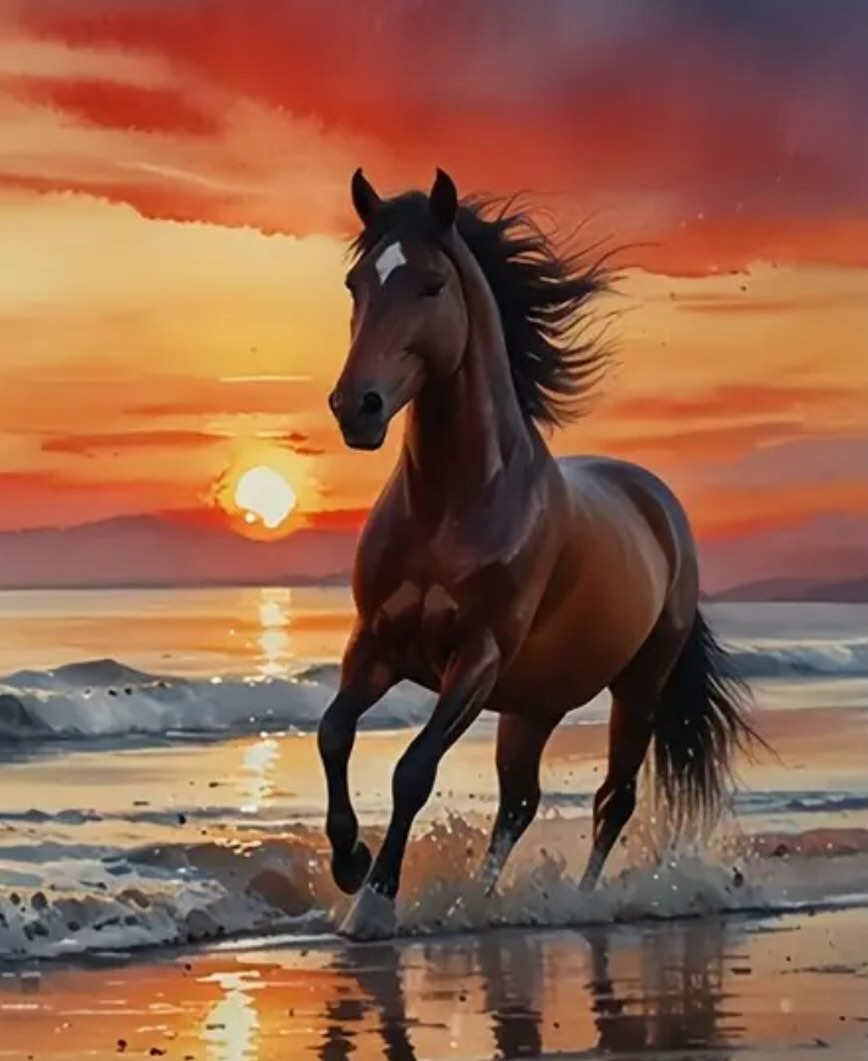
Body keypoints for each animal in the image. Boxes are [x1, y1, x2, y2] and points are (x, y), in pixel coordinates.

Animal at [317, 167, 762, 936]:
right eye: (355, 284)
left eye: (432, 284)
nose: (356, 407)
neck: (452, 505)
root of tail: (656, 501)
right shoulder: (375, 644)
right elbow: (334, 733)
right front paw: (349, 862)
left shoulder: (476, 659)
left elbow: (413, 770)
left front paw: (374, 901)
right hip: (534, 706)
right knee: (518, 803)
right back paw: (482, 900)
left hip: (636, 688)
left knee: (612, 799)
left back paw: (581, 901)